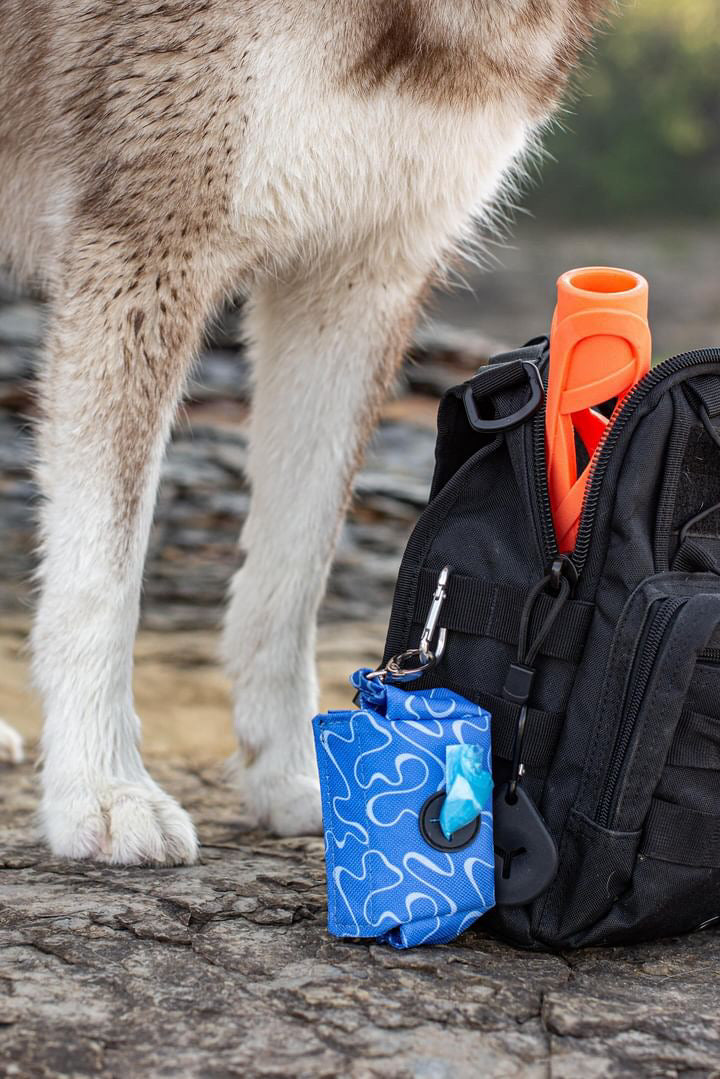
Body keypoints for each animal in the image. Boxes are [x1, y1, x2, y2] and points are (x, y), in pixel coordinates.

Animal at [0, 0, 604, 858]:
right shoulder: (142, 246)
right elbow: (101, 573)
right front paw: (102, 787)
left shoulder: (355, 276)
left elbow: (293, 572)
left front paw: (300, 774)